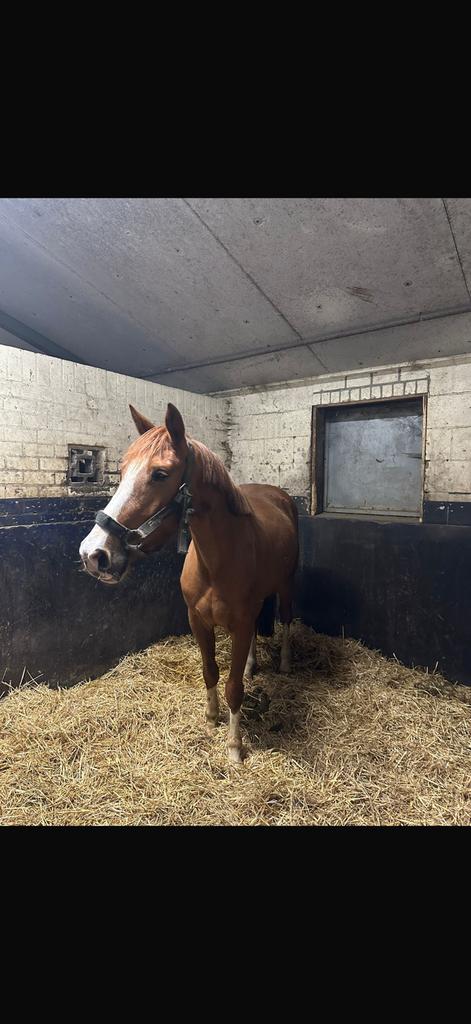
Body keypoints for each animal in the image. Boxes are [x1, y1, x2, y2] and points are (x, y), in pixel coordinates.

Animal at [80, 403, 299, 762]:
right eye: (122, 470)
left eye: (160, 474)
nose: (93, 554)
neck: (217, 562)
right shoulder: (198, 620)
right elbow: (210, 670)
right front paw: (211, 719)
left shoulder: (240, 623)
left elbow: (234, 687)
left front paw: (234, 747)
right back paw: (252, 666)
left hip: (286, 585)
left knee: (287, 619)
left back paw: (284, 664)